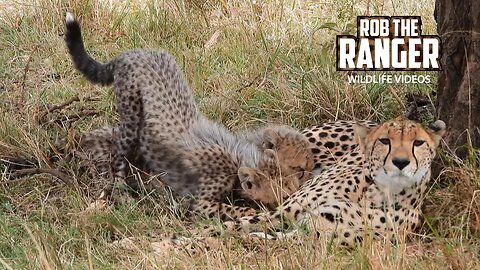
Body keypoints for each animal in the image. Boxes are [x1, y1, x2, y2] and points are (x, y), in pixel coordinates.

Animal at [63, 13, 314, 219]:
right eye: (298, 171)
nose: (299, 191)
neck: (240, 156)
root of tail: (133, 52)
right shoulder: (200, 203)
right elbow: (232, 209)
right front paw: (255, 215)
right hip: (130, 117)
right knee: (118, 154)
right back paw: (121, 190)